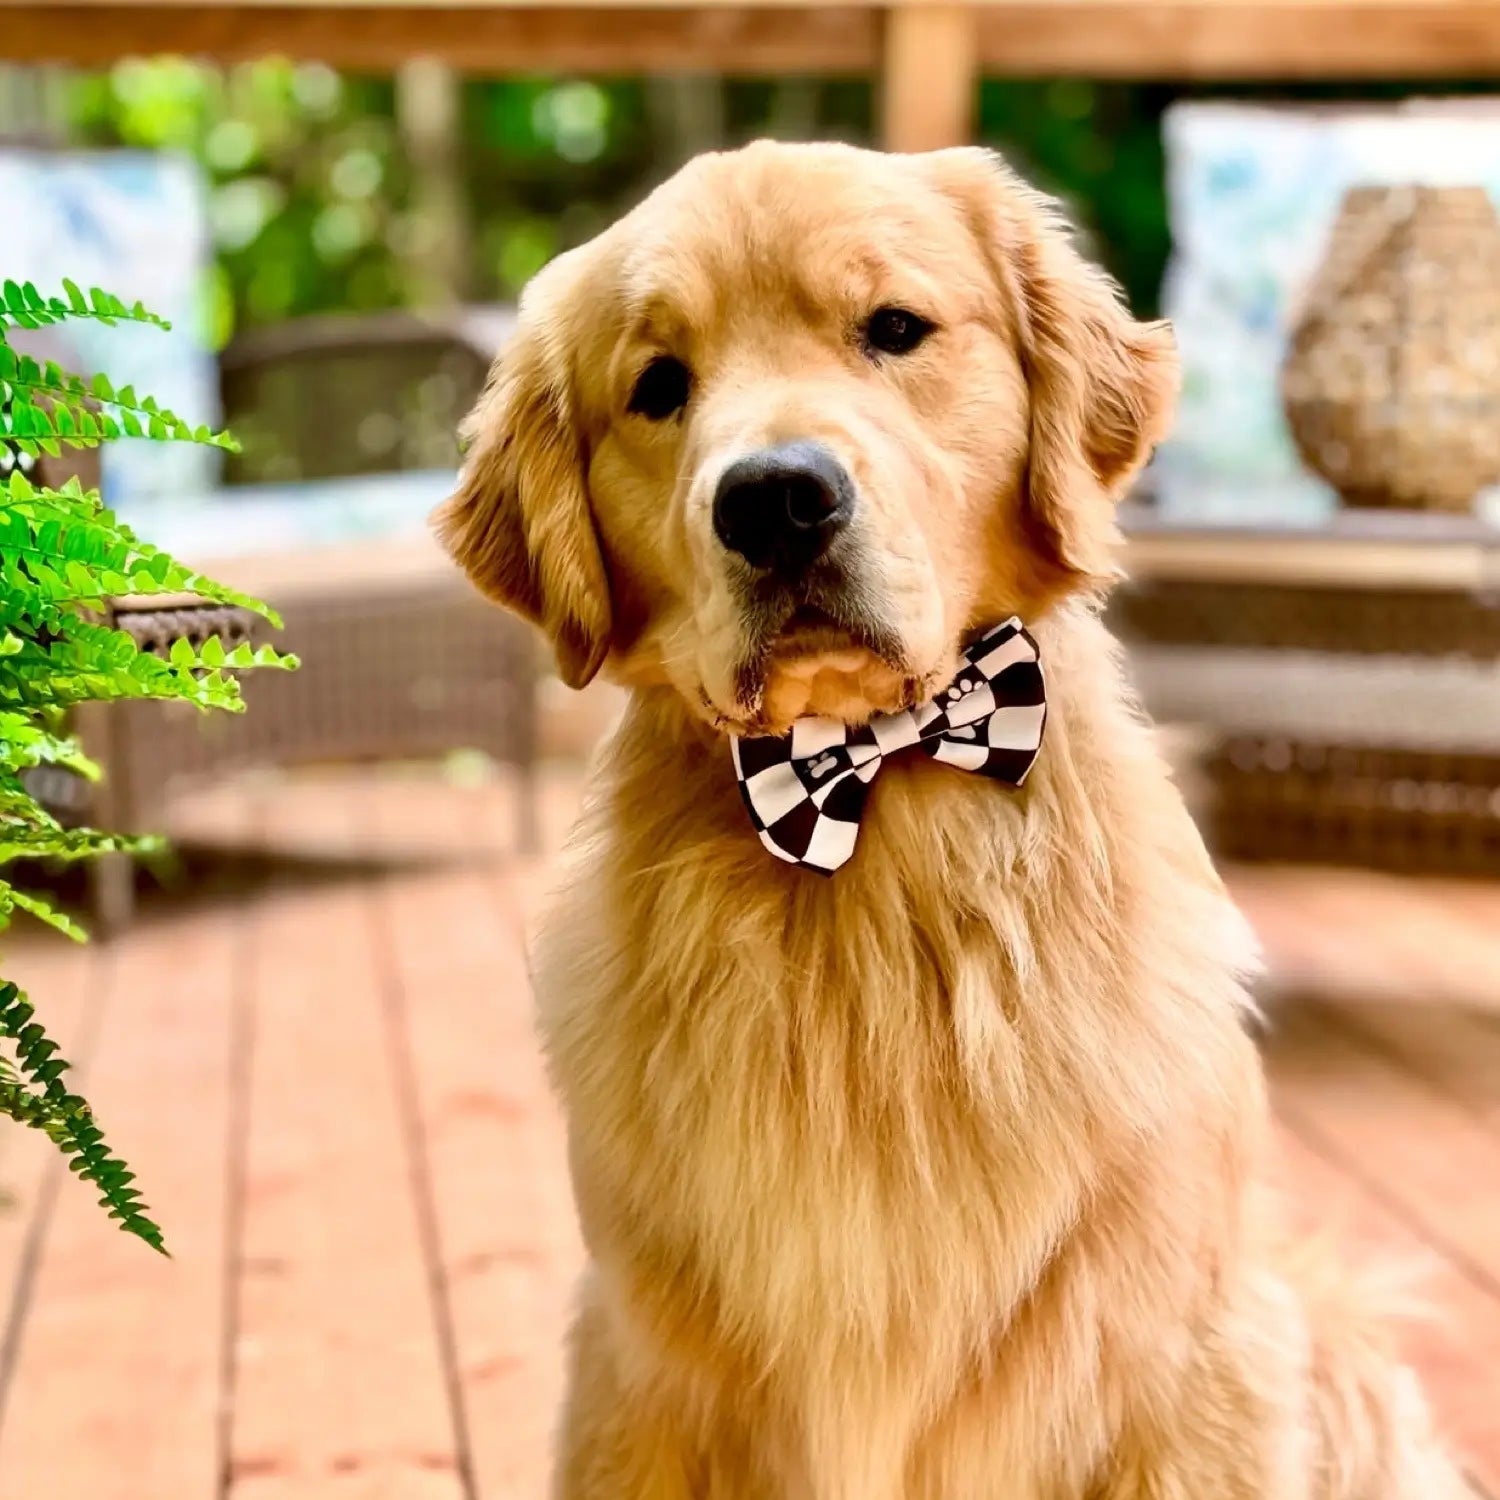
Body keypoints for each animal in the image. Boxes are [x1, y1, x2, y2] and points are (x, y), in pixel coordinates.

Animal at [435, 141, 1464, 1500]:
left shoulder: (1186, 1369)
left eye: (895, 328)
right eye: (658, 387)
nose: (776, 500)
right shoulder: (642, 1379)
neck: (875, 802)